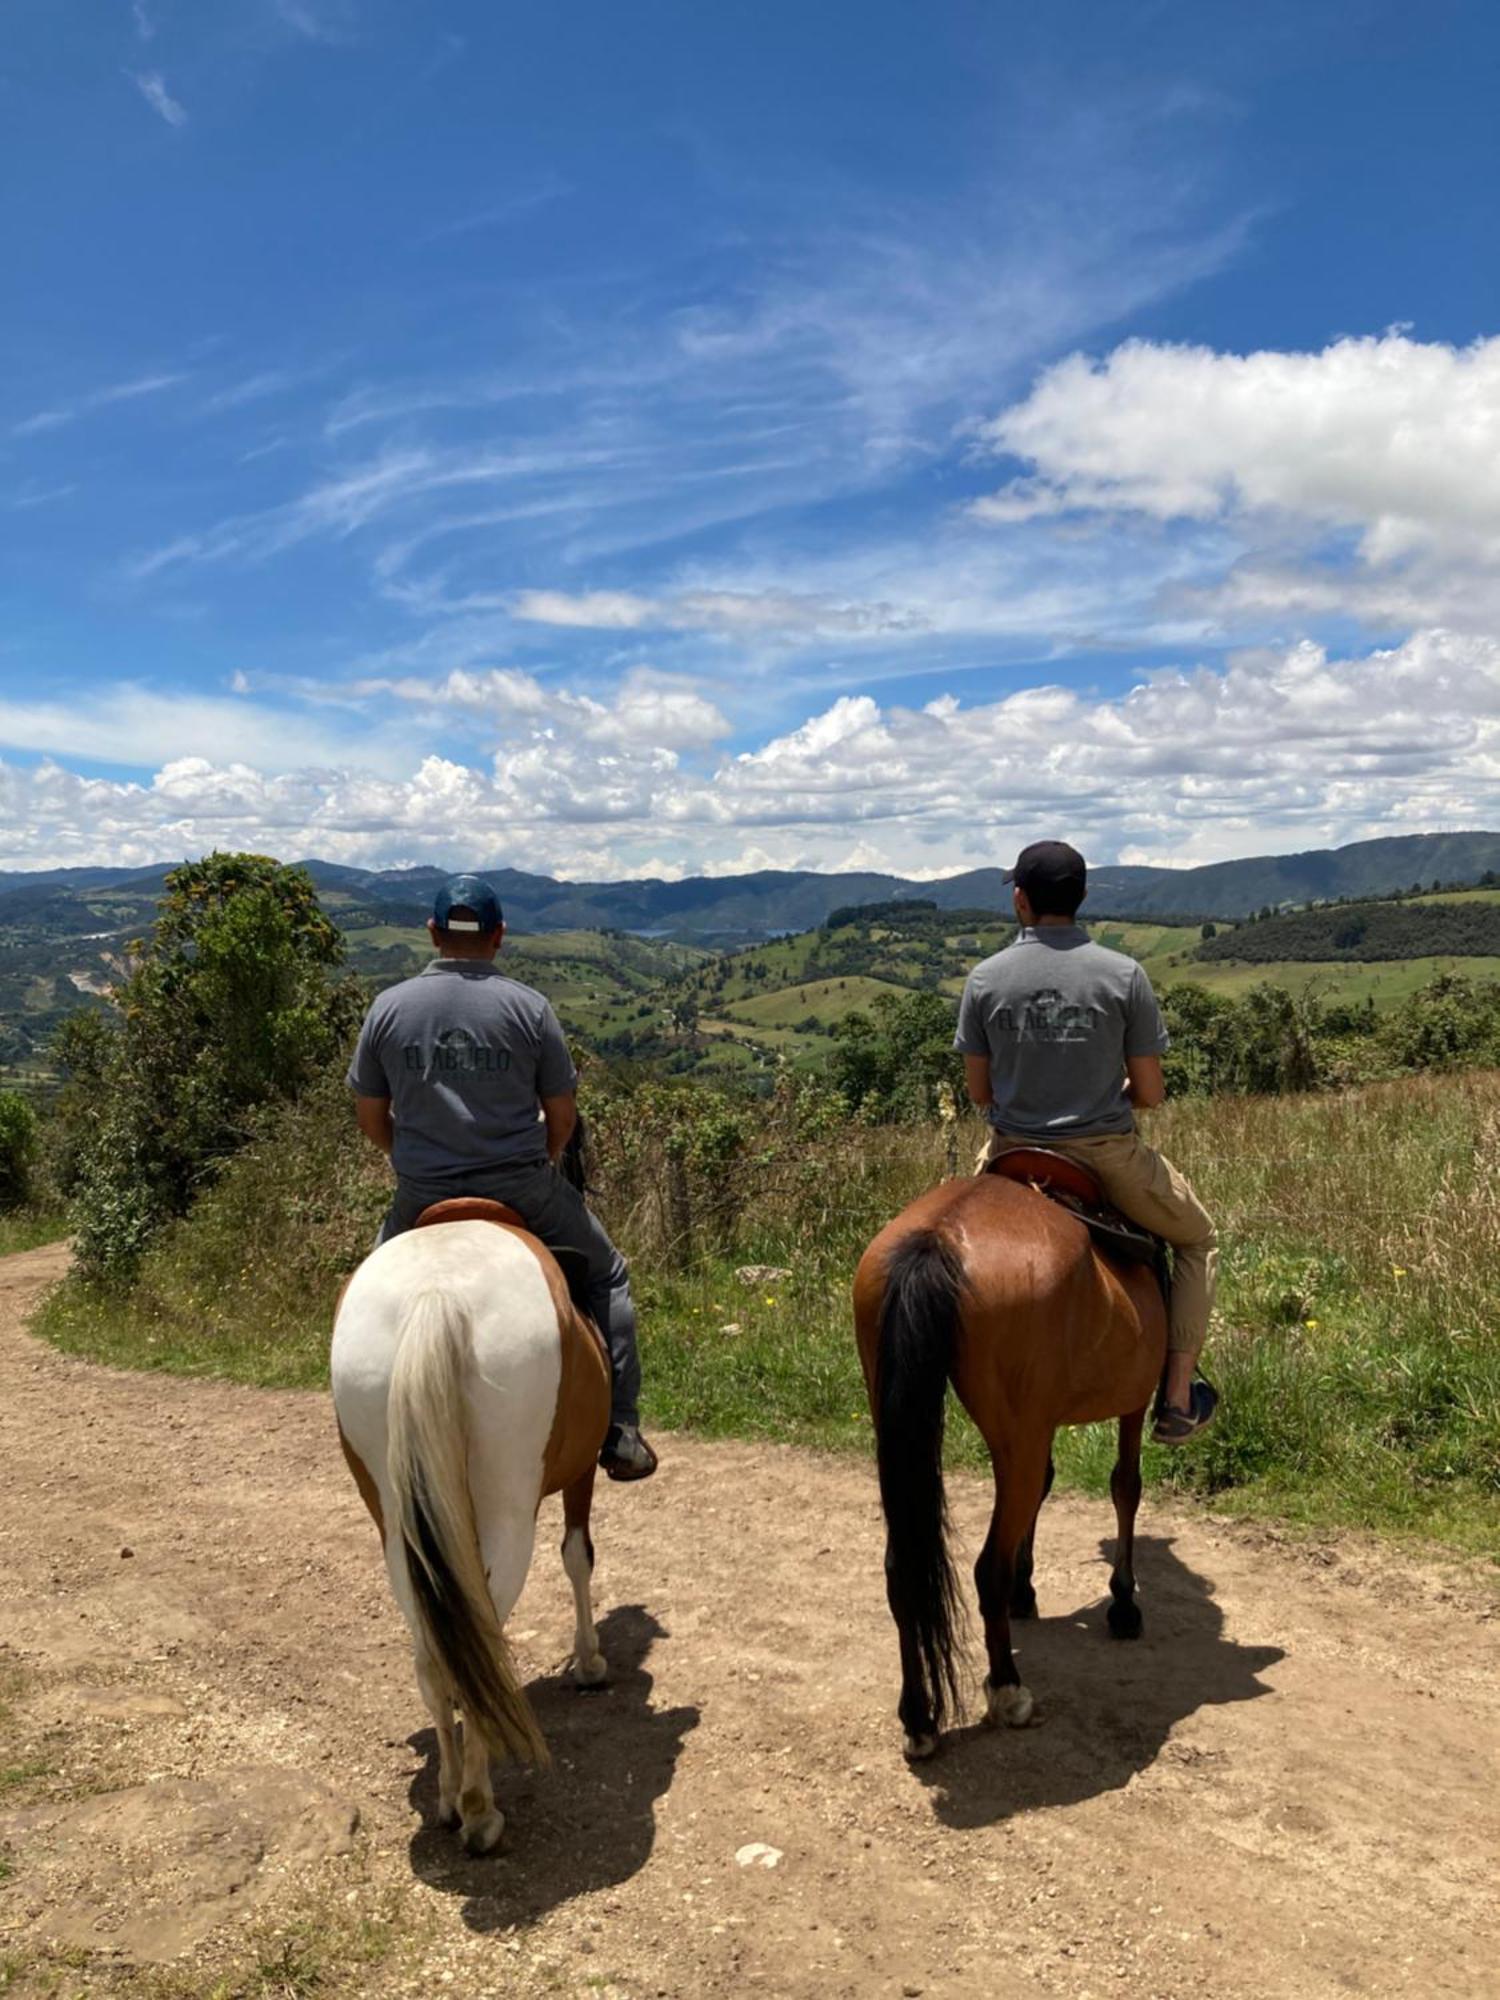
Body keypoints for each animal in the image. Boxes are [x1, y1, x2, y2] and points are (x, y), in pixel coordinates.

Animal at [334, 1192, 612, 1848]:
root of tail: (435, 1294)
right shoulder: (582, 1471)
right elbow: (578, 1556)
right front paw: (589, 1662)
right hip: (507, 1514)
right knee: (482, 1629)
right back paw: (481, 1811)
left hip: (395, 1520)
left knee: (434, 1653)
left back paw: (448, 1797)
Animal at [856, 1168, 1160, 1760]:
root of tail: (939, 1237)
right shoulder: (1131, 1403)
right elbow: (1125, 1487)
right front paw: (1123, 1603)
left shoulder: (1044, 1423)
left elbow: (1049, 1488)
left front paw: (1027, 1590)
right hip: (1018, 1436)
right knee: (985, 1568)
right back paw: (1007, 1691)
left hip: (912, 1427)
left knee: (903, 1570)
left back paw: (919, 1718)